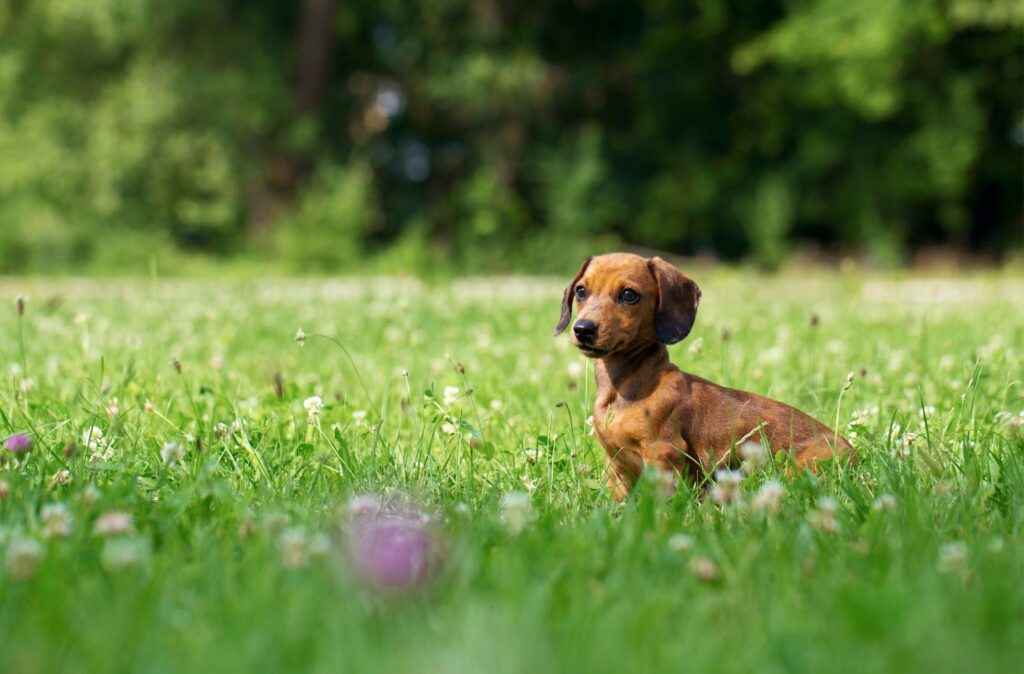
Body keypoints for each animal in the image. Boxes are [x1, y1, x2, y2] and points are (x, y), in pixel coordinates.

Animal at [557, 253, 851, 497]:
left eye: (629, 295)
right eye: (581, 291)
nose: (583, 329)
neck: (625, 386)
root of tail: (852, 450)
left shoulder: (662, 453)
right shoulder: (616, 465)